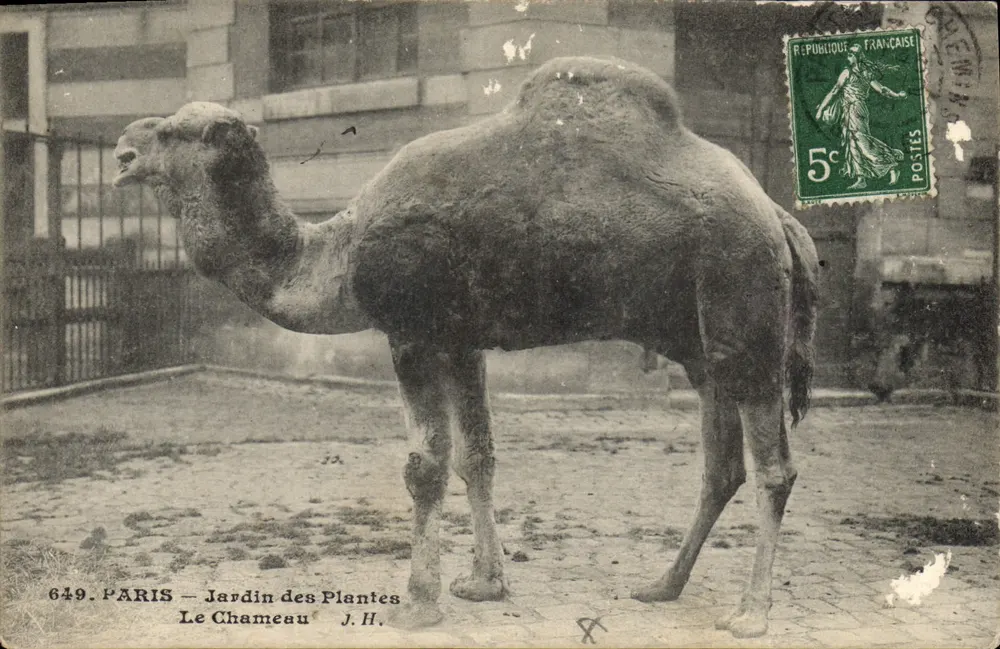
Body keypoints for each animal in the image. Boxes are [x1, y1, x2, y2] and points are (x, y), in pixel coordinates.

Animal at [113, 56, 819, 639]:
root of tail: (779, 217)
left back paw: (751, 613)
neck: (334, 253)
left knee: (773, 467)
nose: (122, 149)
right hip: (706, 346)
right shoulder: (461, 342)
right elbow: (477, 457)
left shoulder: (413, 331)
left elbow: (424, 466)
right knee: (720, 466)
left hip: (744, 310)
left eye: (172, 132)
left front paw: (417, 603)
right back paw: (662, 586)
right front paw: (484, 583)